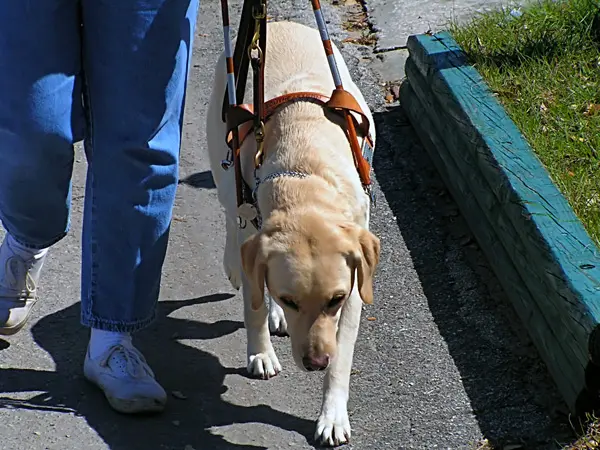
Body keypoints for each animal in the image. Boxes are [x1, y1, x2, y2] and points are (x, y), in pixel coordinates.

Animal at [206, 20, 380, 446]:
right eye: (292, 300)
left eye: (335, 300)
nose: (316, 362)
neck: (305, 175)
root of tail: (276, 22)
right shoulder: (254, 230)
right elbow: (252, 306)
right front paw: (260, 353)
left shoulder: (356, 288)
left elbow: (343, 356)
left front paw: (332, 415)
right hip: (224, 163)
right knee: (232, 221)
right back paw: (235, 266)